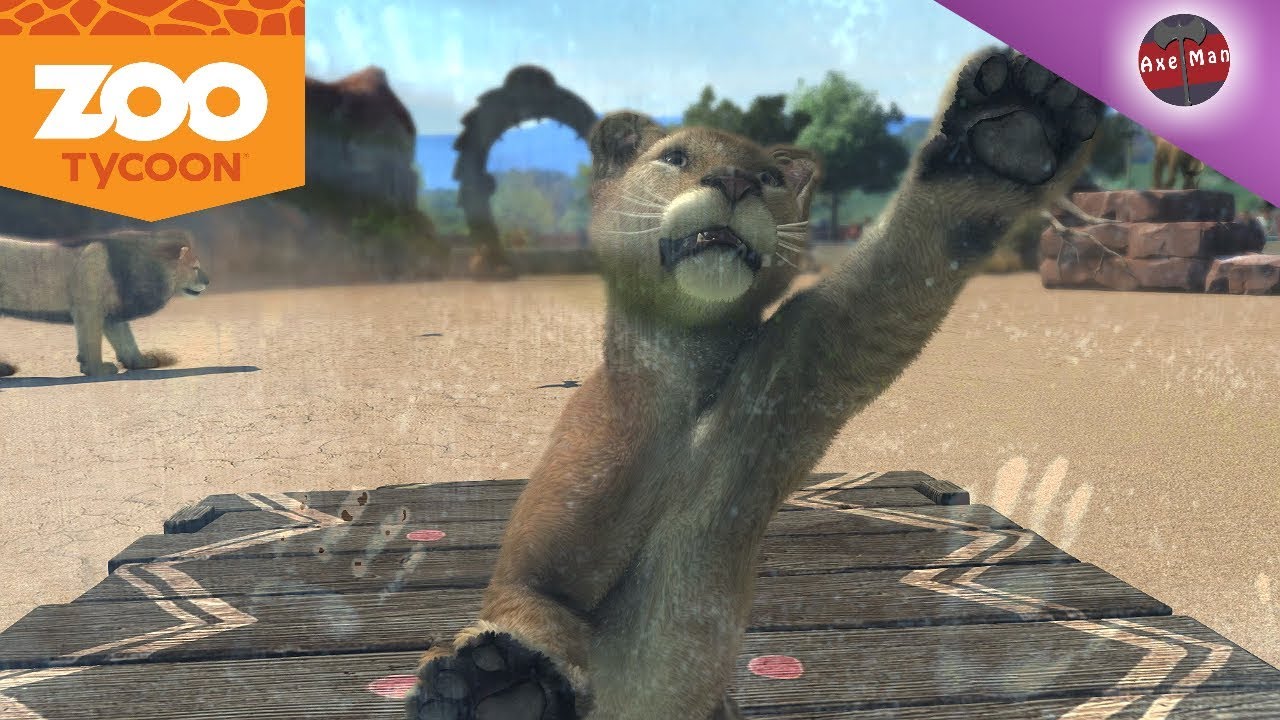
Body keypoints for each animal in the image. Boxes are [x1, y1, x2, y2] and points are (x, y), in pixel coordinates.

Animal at [0, 228, 209, 377]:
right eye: (195, 268)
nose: (208, 281)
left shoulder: (113, 315)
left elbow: (127, 341)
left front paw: (141, 363)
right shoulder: (88, 309)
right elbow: (92, 343)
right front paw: (97, 370)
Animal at [406, 46, 1102, 720]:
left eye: (767, 177)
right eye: (675, 158)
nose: (736, 181)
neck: (685, 383)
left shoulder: (815, 349)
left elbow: (915, 252)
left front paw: (1016, 123)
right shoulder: (545, 554)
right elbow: (529, 602)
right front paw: (497, 682)